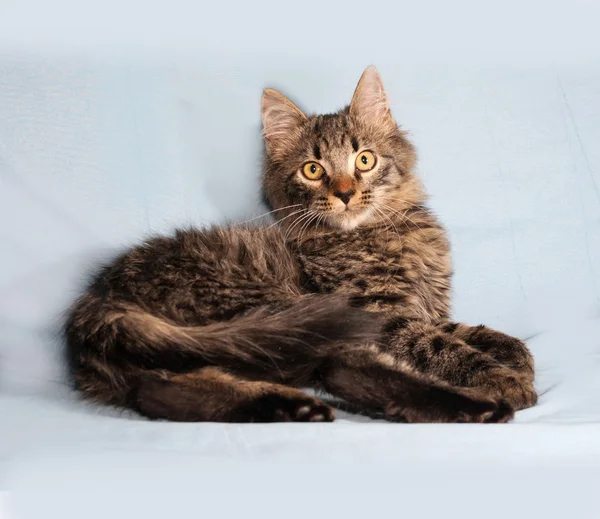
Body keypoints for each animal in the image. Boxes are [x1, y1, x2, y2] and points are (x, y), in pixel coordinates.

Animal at [63, 66, 536, 422]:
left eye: (365, 159)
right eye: (312, 170)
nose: (345, 193)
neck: (384, 234)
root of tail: (99, 301)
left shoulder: (427, 310)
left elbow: (479, 333)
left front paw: (514, 356)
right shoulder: (382, 315)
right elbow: (441, 344)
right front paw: (503, 378)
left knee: (159, 390)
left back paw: (289, 408)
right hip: (274, 308)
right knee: (342, 368)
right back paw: (477, 407)